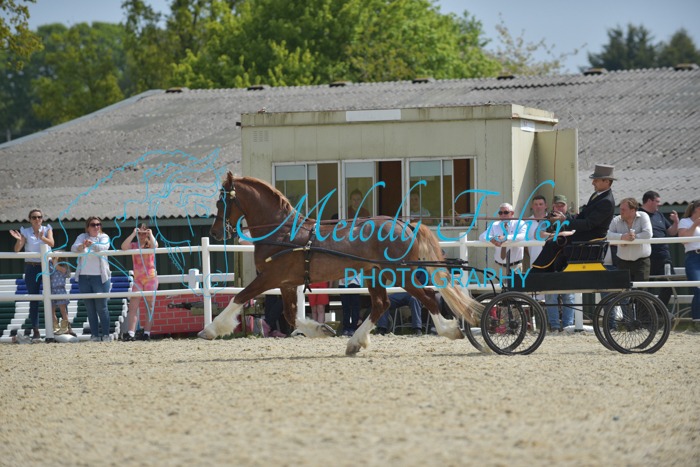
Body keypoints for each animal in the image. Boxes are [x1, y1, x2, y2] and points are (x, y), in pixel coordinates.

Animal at [199, 173, 483, 356]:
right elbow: (291, 316)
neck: (281, 232)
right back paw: (355, 342)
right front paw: (321, 329)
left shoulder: (269, 277)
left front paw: (211, 329)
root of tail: (405, 225)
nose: (214, 232)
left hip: (400, 273)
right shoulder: (286, 283)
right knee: (382, 304)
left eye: (222, 201)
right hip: (375, 274)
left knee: (426, 298)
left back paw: (449, 330)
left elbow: (239, 297)